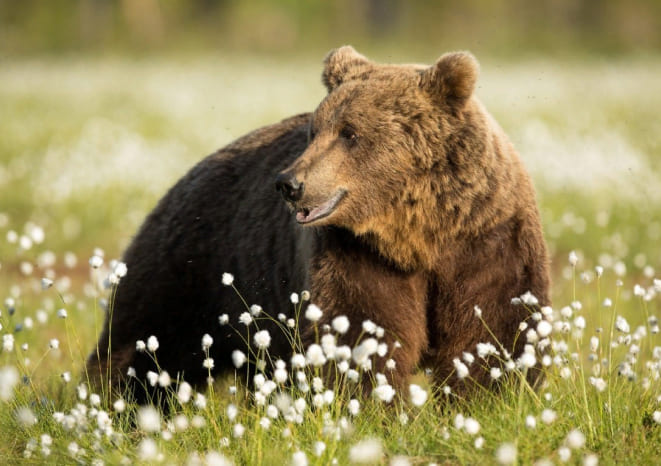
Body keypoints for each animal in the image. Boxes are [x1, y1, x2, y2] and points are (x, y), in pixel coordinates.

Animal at [87, 46, 550, 404]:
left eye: (350, 133)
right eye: (315, 128)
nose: (290, 183)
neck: (417, 233)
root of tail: (185, 175)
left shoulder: (486, 238)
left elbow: (494, 327)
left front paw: (487, 401)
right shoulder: (353, 252)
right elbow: (360, 331)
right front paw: (372, 409)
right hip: (191, 268)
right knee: (145, 342)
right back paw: (115, 402)